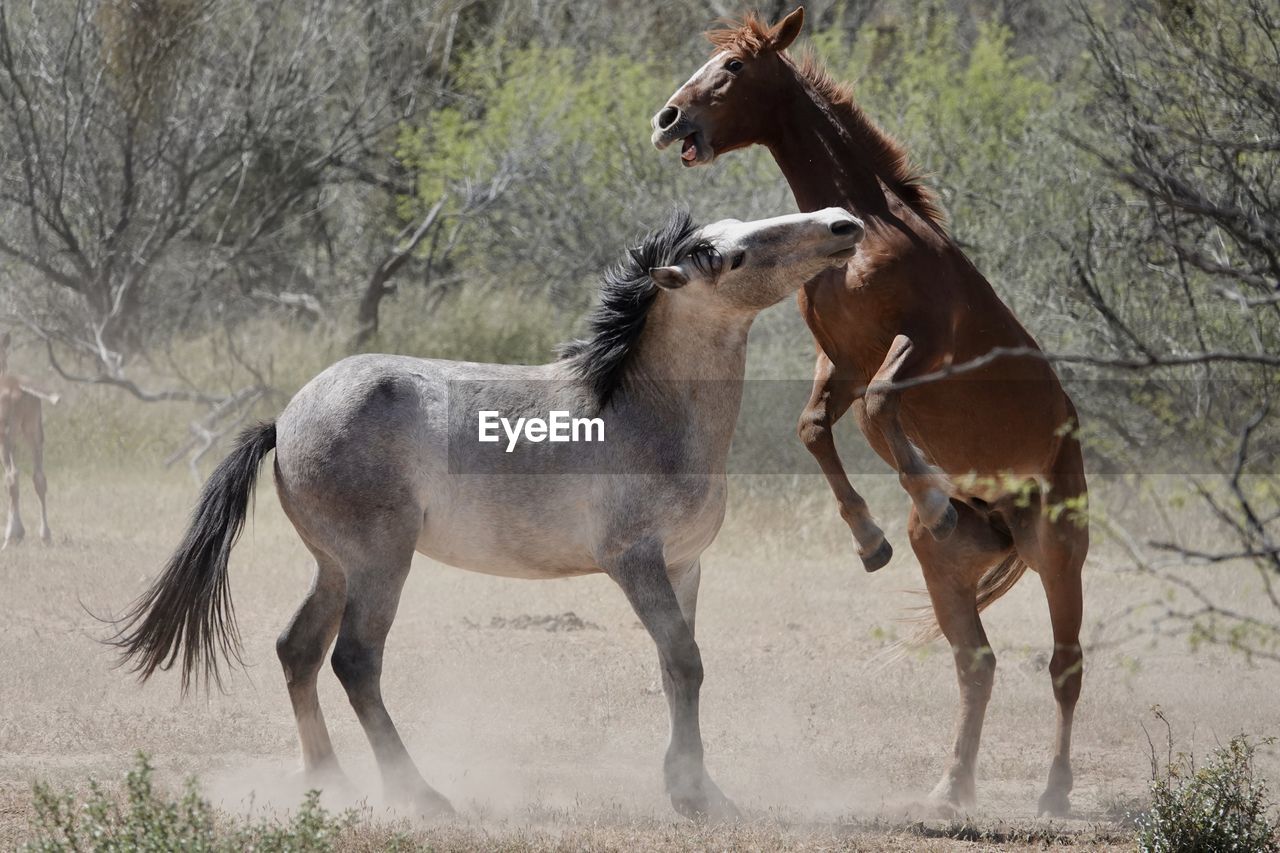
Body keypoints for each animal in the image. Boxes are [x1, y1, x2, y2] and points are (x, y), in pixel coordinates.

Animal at [112, 204, 870, 819]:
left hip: (335, 567)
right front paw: (692, 797)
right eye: (721, 254)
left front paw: (701, 788)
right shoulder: (635, 561)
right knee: (355, 661)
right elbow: (684, 663)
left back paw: (330, 782)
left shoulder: (685, 566)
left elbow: (674, 668)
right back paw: (419, 794)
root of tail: (287, 417)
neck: (642, 410)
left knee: (297, 649)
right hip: (380, 563)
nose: (843, 223)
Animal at [655, 8, 1085, 819]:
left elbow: (878, 408)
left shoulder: (921, 345)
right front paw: (870, 539)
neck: (870, 229)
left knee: (1065, 667)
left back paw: (1052, 794)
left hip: (1058, 551)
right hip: (949, 574)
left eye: (732, 67)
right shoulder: (844, 360)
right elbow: (817, 427)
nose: (667, 120)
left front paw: (925, 494)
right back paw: (950, 789)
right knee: (977, 663)